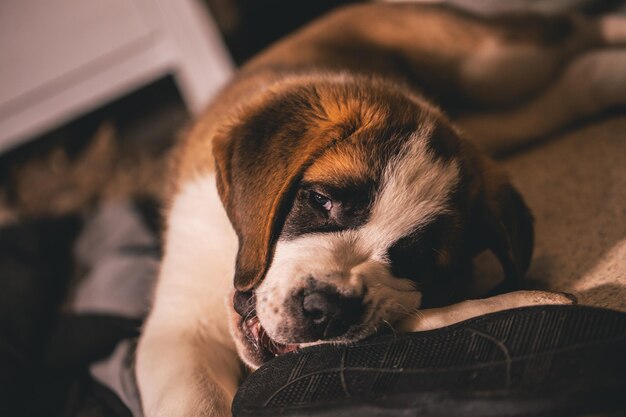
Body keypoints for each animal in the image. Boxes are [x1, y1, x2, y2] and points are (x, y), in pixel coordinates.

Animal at [136, 4, 624, 416]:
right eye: (321, 201)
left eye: (415, 260)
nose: (327, 309)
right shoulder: (181, 325)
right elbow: (194, 399)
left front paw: (530, 300)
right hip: (490, 94)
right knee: (559, 76)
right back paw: (605, 76)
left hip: (495, 64)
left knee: (567, 31)